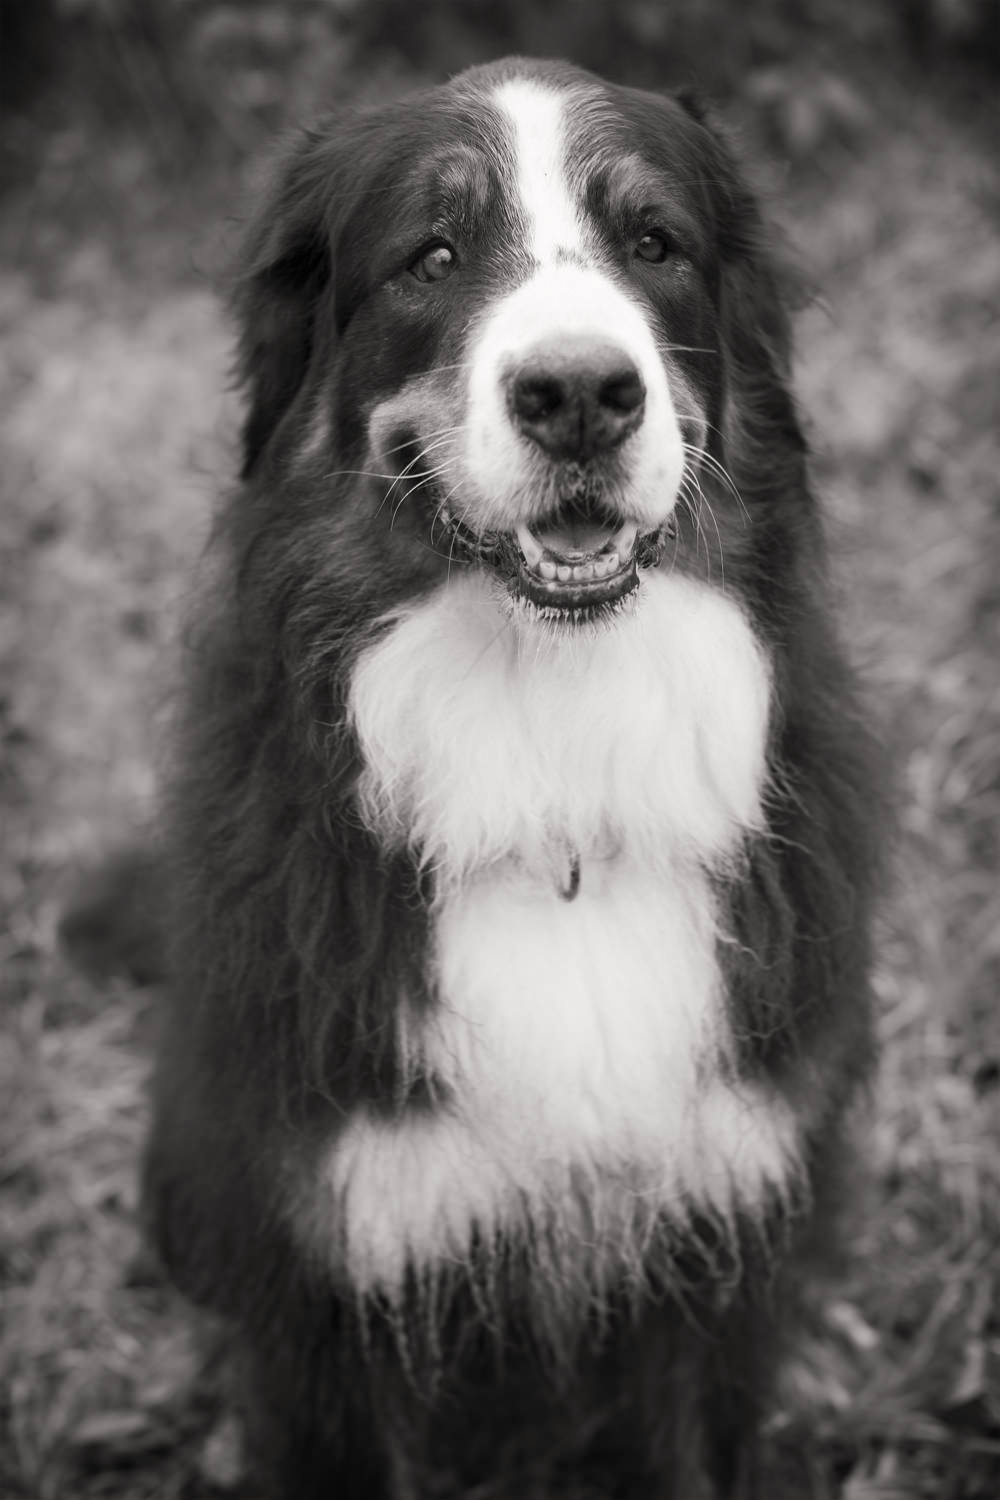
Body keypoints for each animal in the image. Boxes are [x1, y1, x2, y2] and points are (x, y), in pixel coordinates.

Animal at [142, 55, 881, 1500]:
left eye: (654, 243)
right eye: (431, 256)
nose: (581, 392)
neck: (553, 736)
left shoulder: (710, 1237)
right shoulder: (341, 1271)